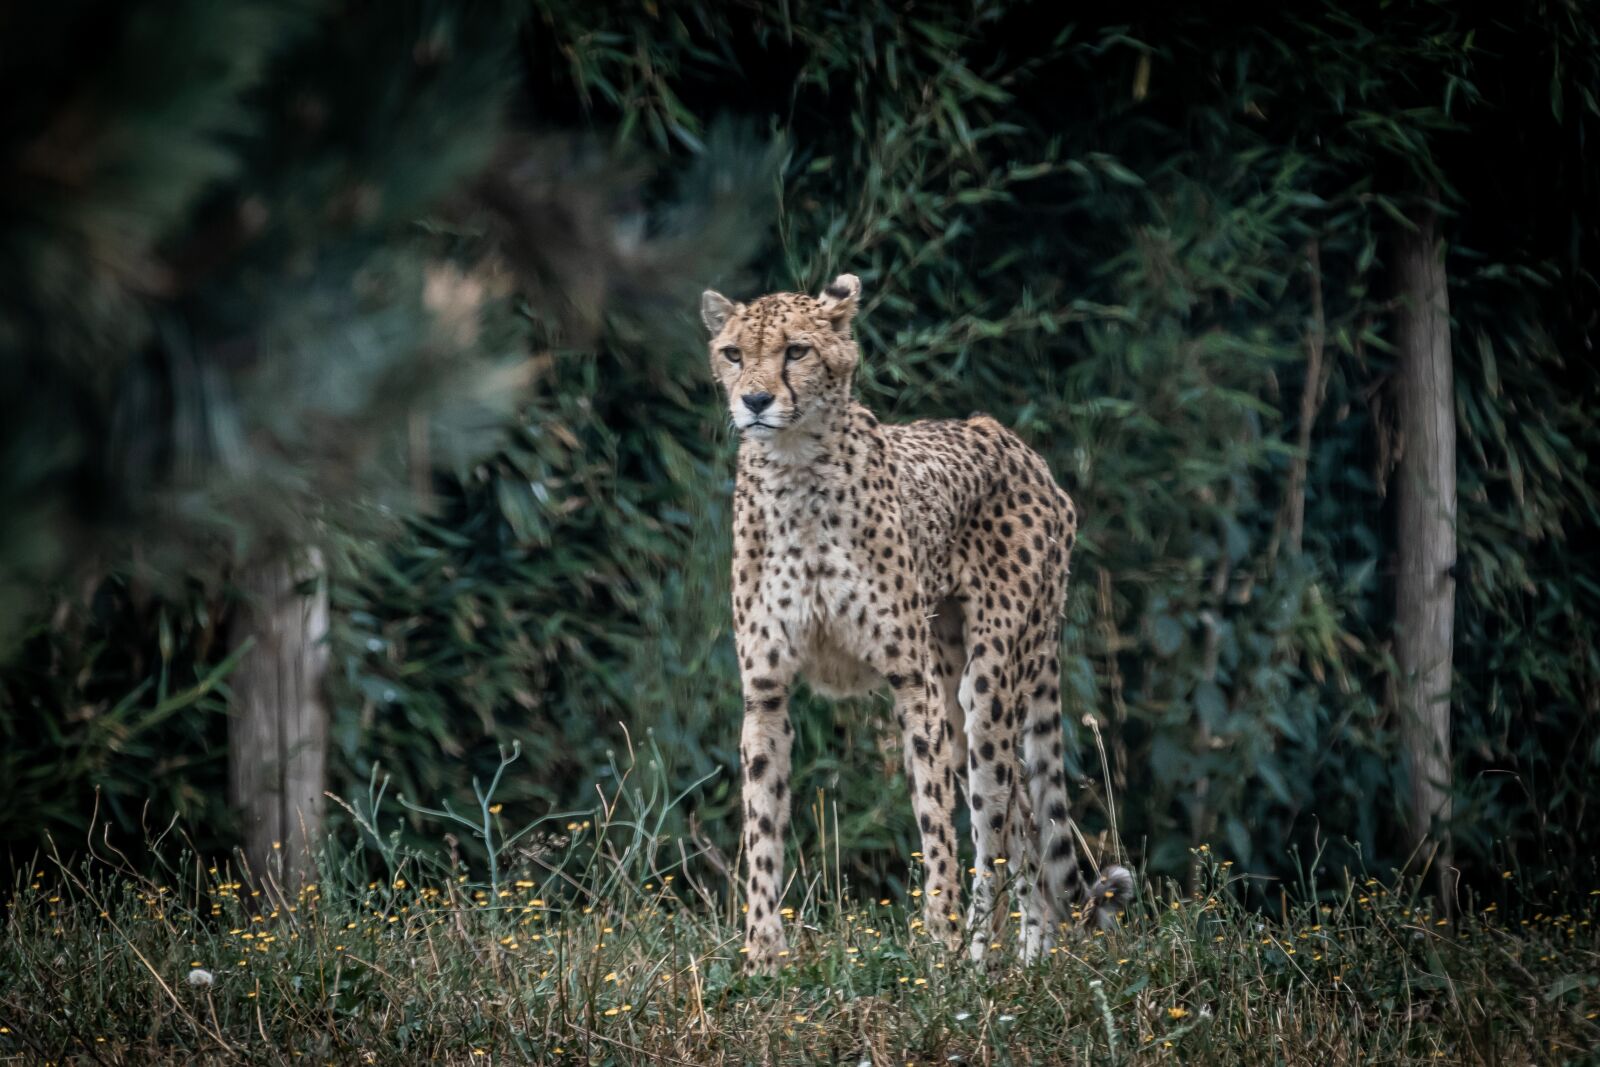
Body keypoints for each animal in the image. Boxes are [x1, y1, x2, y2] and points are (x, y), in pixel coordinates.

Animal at [702, 273, 1133, 972]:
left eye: (796, 350)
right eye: (734, 353)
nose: (756, 401)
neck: (796, 469)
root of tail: (1011, 440)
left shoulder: (913, 683)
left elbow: (936, 825)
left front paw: (941, 944)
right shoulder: (765, 690)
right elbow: (762, 826)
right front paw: (762, 959)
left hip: (986, 685)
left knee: (998, 824)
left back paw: (985, 962)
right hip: (958, 683)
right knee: (1023, 818)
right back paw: (1029, 959)